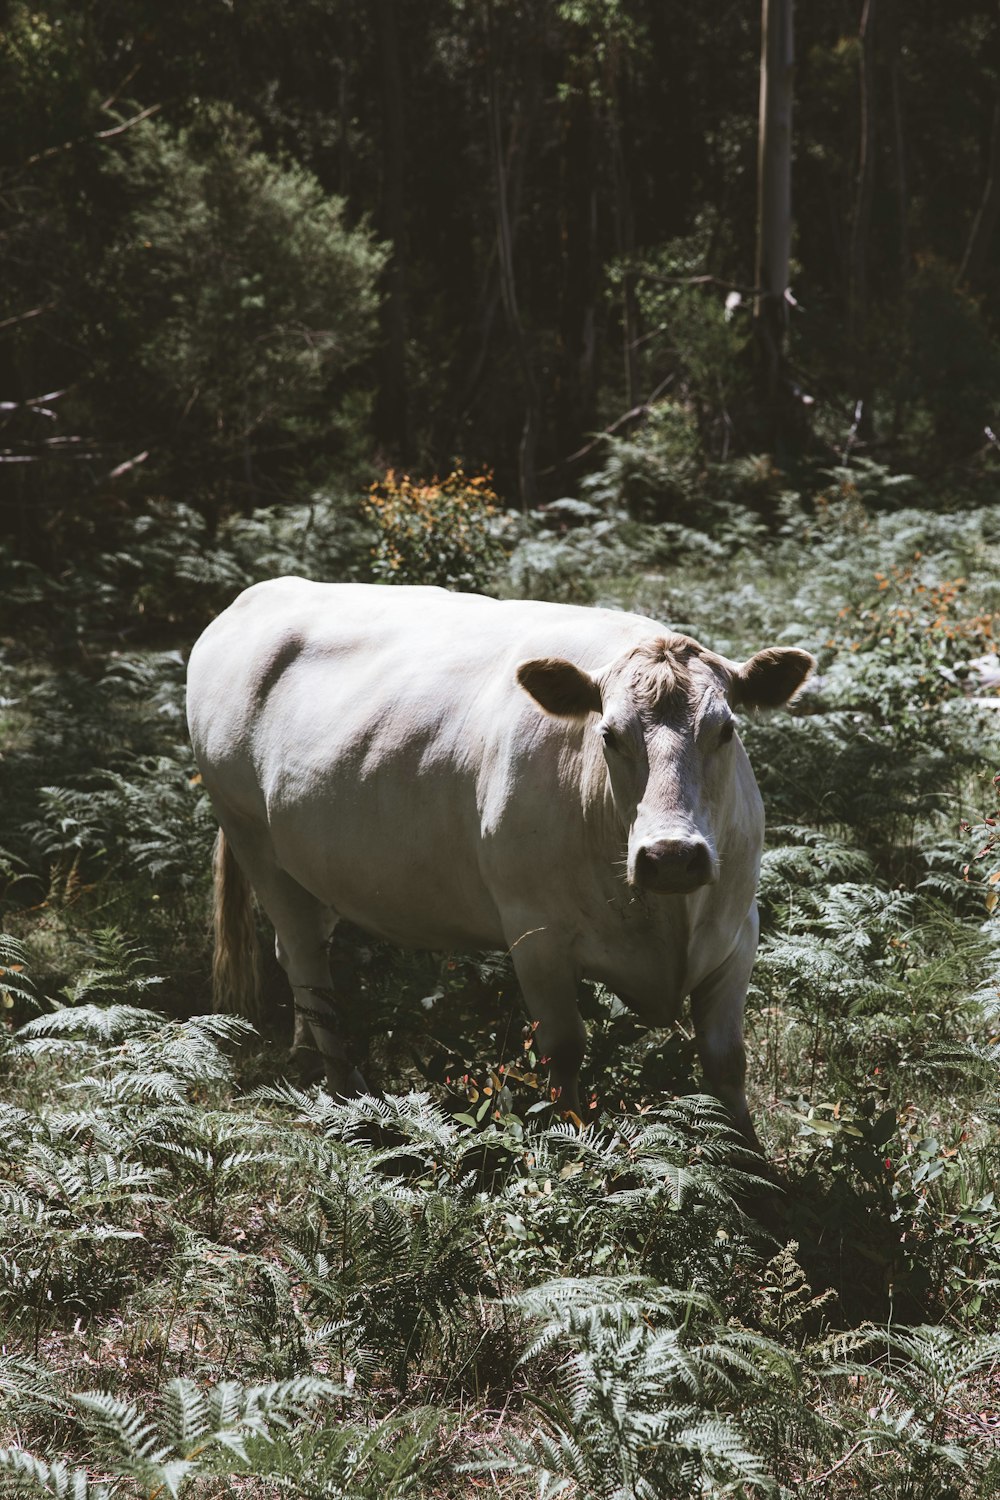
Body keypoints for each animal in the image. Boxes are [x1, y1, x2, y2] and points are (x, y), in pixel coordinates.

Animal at [187, 579, 815, 1140]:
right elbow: (563, 1051)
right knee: (305, 962)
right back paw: (349, 1093)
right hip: (252, 839)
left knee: (300, 953)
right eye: (609, 735)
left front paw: (750, 1158)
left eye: (726, 729)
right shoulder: (534, 936)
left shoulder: (739, 930)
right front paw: (570, 1145)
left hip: (311, 867)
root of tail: (258, 594)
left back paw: (304, 1053)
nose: (671, 856)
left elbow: (726, 1058)